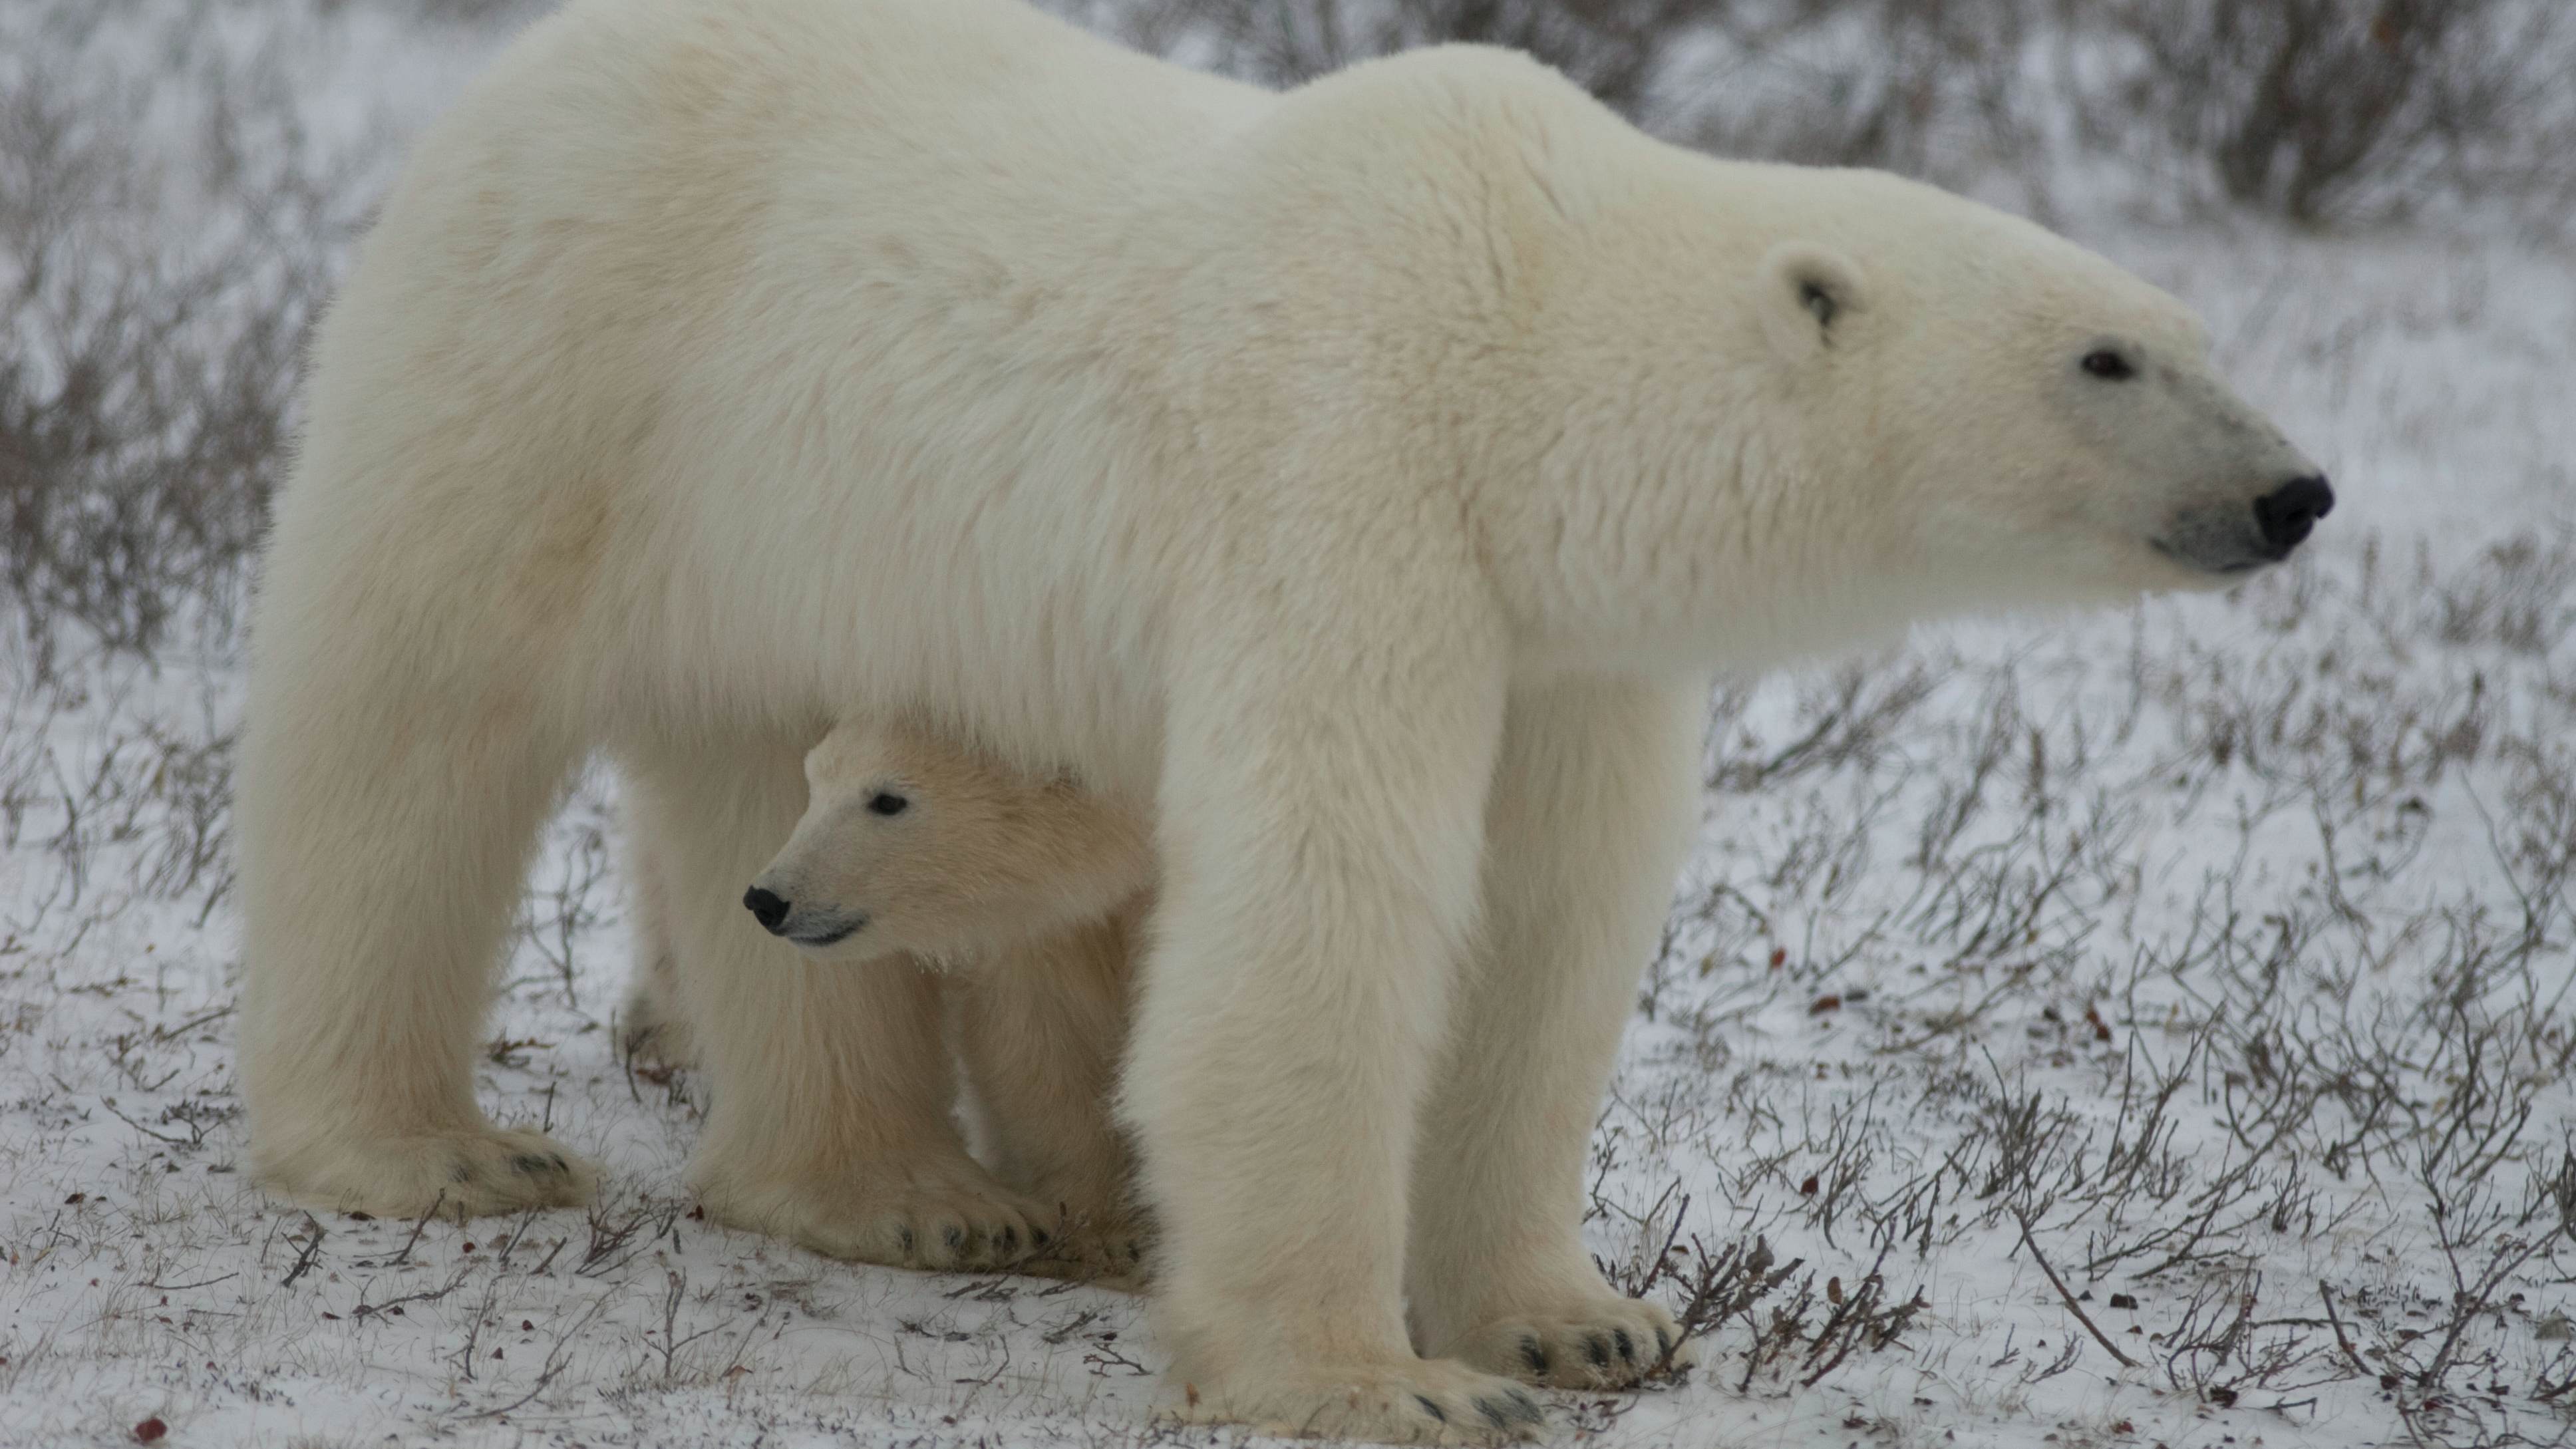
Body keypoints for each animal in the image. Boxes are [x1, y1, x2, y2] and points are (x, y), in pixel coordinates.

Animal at [237, 0, 2338, 1423]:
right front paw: (1372, 1377)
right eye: (2106, 357)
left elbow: (1544, 934)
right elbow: (1323, 907)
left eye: (2199, 336)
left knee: (749, 780)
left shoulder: (1558, 643)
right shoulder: (1348, 477)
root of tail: (513, 75)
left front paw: (1581, 1316)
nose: (2296, 492)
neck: (1520, 333)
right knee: (411, 728)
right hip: (556, 367)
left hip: (766, 550)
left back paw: (894, 1192)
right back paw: (434, 1149)